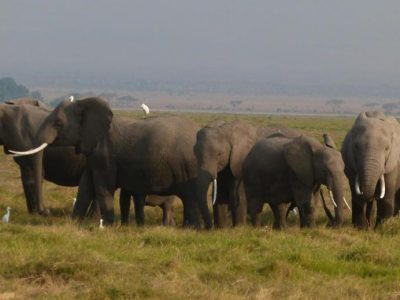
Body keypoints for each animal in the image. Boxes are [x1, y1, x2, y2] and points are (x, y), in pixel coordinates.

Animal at [11, 98, 203, 227]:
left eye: (59, 123)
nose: (45, 213)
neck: (83, 104)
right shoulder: (92, 153)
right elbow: (85, 188)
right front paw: (74, 223)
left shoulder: (105, 154)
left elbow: (103, 187)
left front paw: (108, 226)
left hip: (189, 166)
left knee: (191, 198)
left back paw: (192, 228)